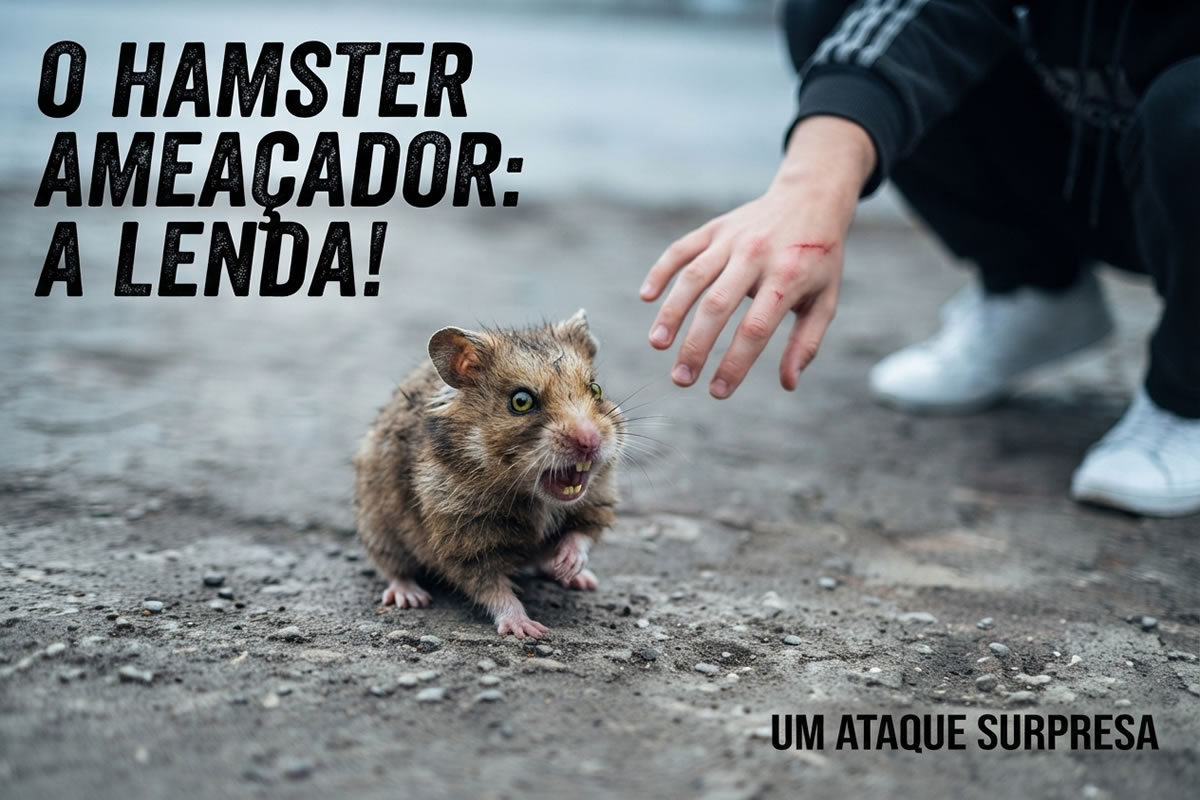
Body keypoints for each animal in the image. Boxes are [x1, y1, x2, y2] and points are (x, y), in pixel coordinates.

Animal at [353, 309, 624, 638]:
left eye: (595, 389)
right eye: (521, 401)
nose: (590, 442)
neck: (534, 497)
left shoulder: (597, 500)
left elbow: (581, 534)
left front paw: (568, 565)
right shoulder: (464, 538)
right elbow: (492, 587)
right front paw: (528, 629)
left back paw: (577, 578)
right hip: (377, 526)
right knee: (393, 568)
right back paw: (410, 596)